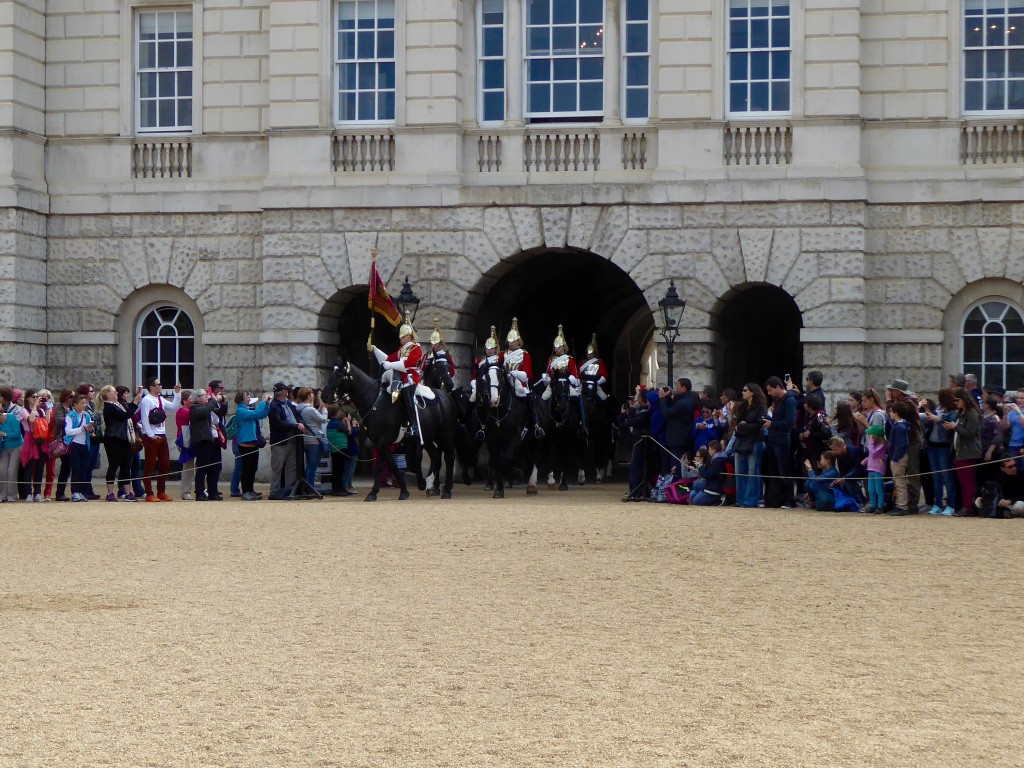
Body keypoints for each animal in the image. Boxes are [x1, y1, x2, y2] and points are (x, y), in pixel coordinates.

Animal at [325, 358, 458, 501]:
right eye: (331, 373)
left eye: (339, 375)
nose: (324, 396)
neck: (375, 402)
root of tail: (446, 396)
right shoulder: (382, 443)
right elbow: (393, 465)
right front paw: (404, 491)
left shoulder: (383, 441)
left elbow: (381, 466)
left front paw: (372, 493)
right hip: (429, 437)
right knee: (435, 456)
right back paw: (429, 485)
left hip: (446, 434)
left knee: (449, 457)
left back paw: (446, 490)